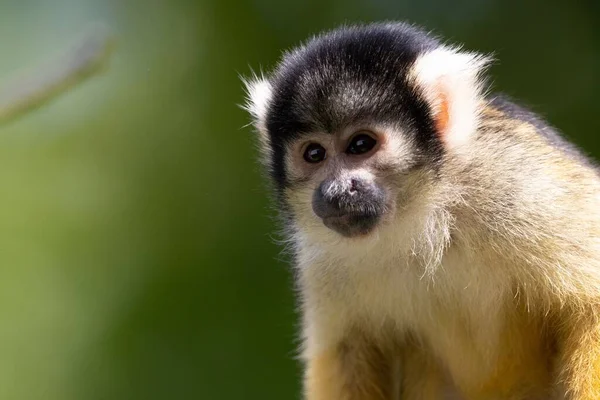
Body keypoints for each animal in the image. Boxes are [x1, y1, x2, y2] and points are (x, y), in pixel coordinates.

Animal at [241, 22, 600, 400]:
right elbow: (347, 348)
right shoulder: (322, 258)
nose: (336, 191)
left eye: (360, 144)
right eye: (314, 154)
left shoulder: (514, 180)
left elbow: (590, 303)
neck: (421, 213)